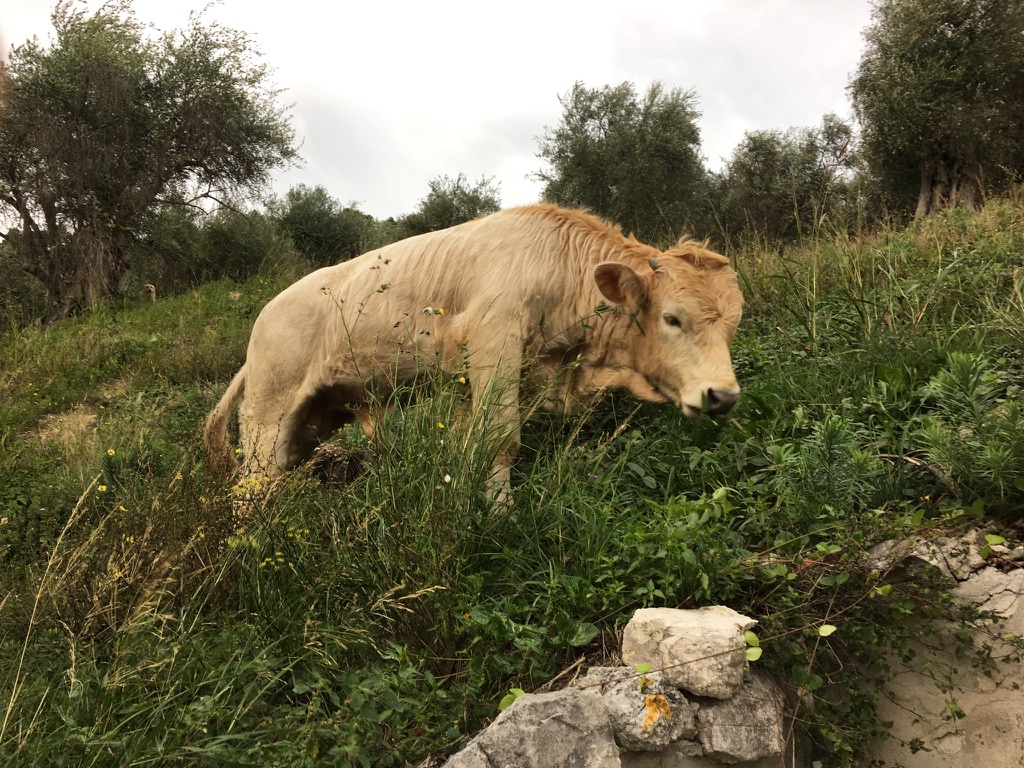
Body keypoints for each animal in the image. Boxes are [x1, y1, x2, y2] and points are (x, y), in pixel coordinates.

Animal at [204, 204, 743, 498]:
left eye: (734, 326)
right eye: (672, 318)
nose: (724, 396)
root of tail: (265, 316)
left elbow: (471, 446)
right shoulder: (494, 344)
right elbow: (500, 442)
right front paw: (501, 516)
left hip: (312, 419)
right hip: (268, 415)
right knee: (252, 486)